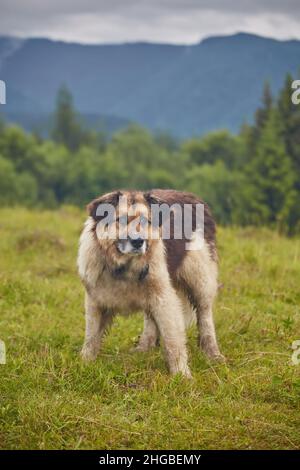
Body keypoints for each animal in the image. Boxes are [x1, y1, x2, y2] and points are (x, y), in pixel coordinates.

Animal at [78, 189, 224, 376]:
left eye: (145, 221)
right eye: (122, 220)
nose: (138, 241)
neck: (124, 268)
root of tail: (192, 196)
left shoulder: (165, 297)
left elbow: (172, 339)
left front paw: (181, 375)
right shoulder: (96, 300)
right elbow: (91, 335)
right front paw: (85, 363)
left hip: (200, 278)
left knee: (205, 316)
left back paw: (213, 354)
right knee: (151, 320)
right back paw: (143, 348)